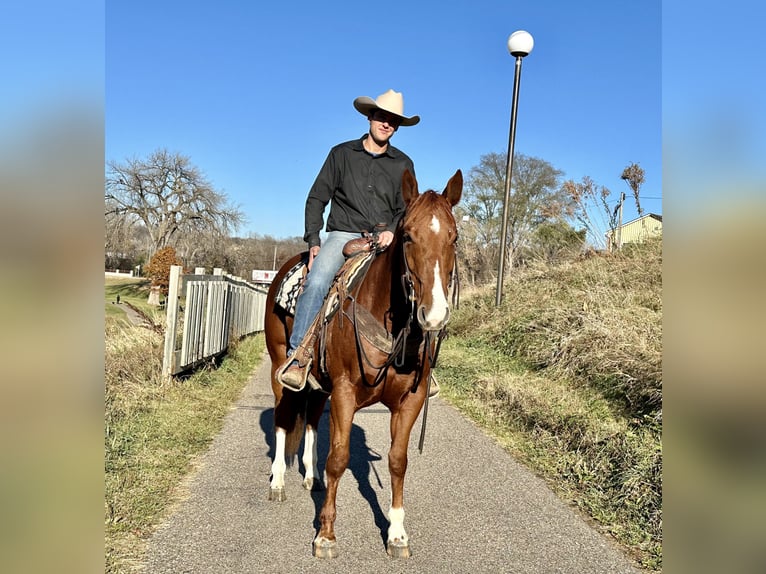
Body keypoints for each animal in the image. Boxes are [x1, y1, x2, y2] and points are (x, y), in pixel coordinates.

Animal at [264, 169, 462, 560]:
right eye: (408, 235)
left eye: (454, 237)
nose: (433, 315)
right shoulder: (344, 392)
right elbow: (339, 457)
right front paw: (325, 535)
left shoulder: (410, 401)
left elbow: (398, 461)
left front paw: (397, 534)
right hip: (280, 364)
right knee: (283, 415)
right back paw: (278, 480)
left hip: (320, 384)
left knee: (311, 419)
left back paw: (311, 475)